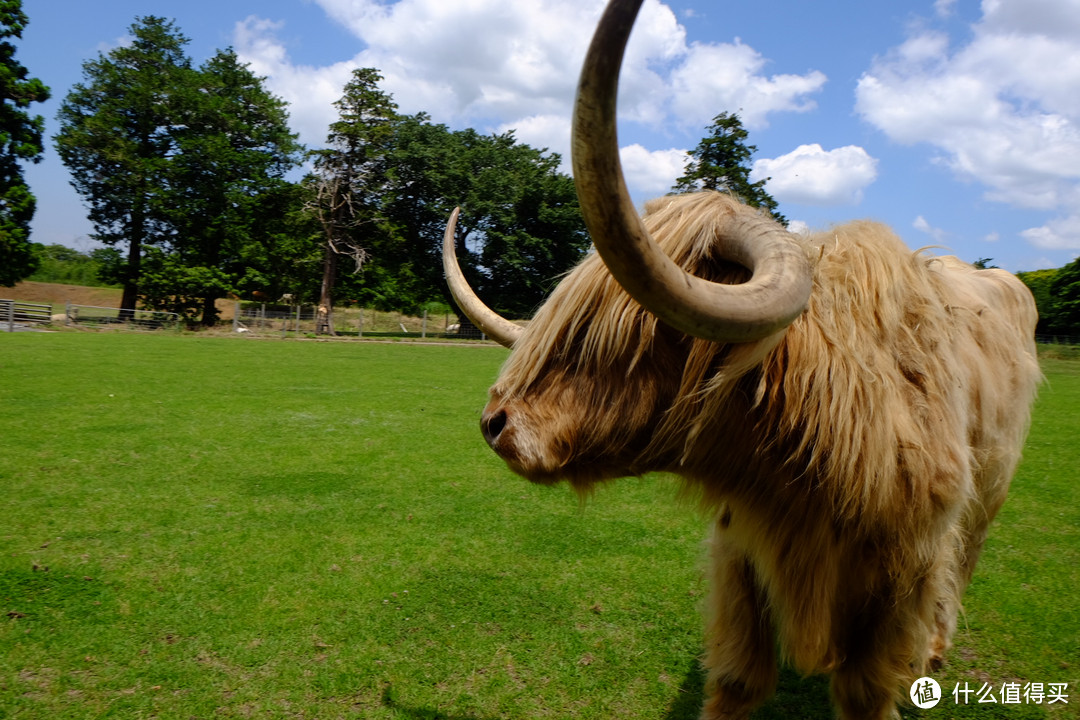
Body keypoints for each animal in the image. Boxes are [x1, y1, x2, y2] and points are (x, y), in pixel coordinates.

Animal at [442, 2, 1041, 716]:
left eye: (626, 334)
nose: (494, 423)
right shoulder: (739, 551)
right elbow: (738, 678)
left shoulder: (906, 572)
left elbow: (866, 689)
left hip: (987, 497)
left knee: (968, 558)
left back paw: (938, 650)